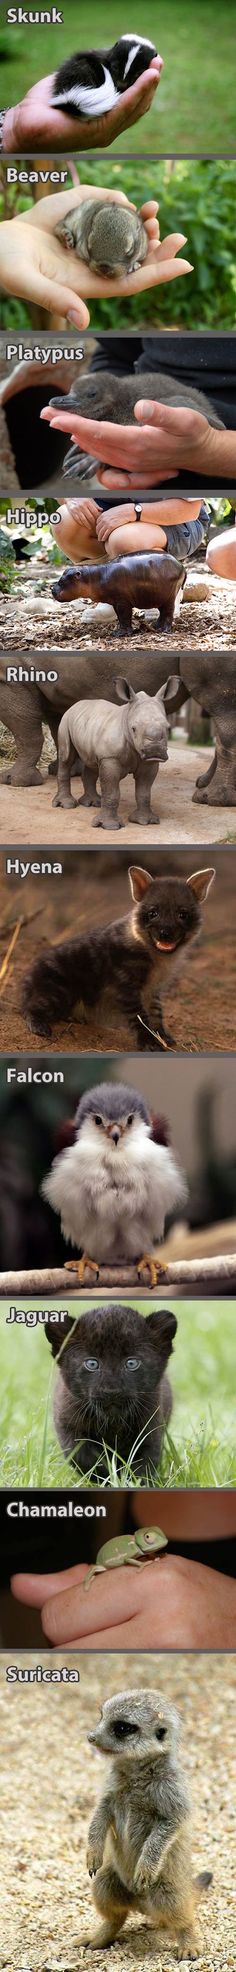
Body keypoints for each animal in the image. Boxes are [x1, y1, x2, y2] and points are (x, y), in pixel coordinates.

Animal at [52, 674, 176, 828]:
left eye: (168, 727)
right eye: (133, 729)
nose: (155, 750)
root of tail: (75, 705)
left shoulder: (148, 762)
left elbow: (144, 792)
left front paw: (145, 821)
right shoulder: (110, 757)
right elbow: (111, 791)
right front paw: (110, 826)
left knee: (92, 764)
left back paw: (93, 803)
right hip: (66, 720)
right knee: (67, 757)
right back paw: (66, 805)